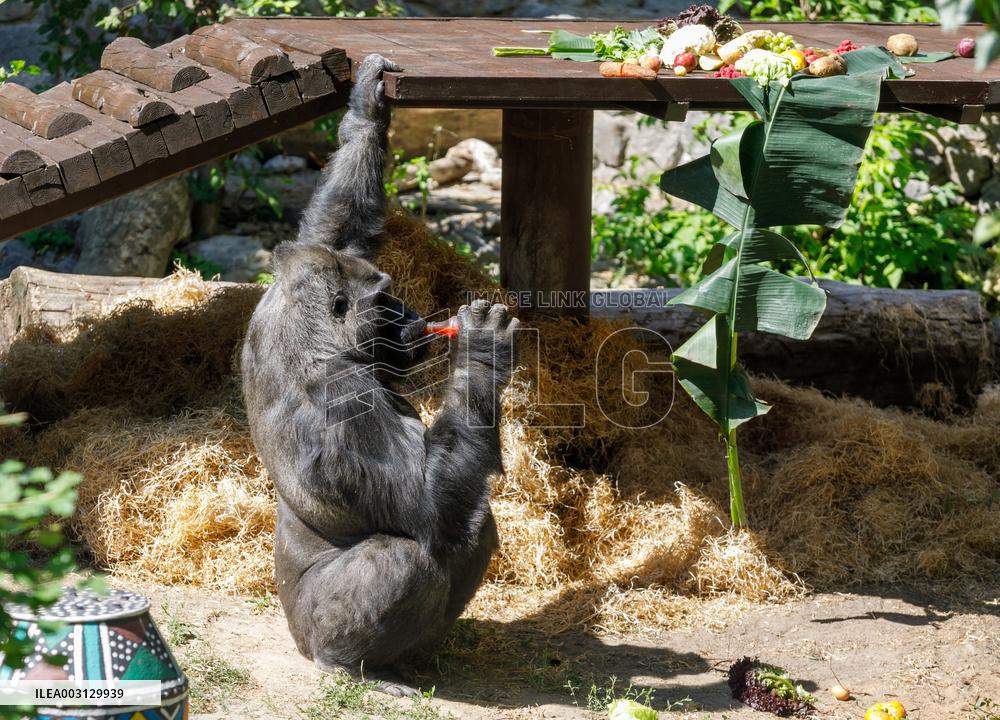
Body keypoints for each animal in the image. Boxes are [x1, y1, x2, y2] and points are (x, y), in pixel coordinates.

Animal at [240, 54, 518, 696]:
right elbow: (426, 502)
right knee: (409, 552)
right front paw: (481, 350)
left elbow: (334, 226)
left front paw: (368, 110)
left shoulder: (282, 286)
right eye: (385, 301)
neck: (312, 340)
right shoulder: (346, 403)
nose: (412, 315)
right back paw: (352, 664)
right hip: (311, 630)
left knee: (473, 523)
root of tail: (299, 642)